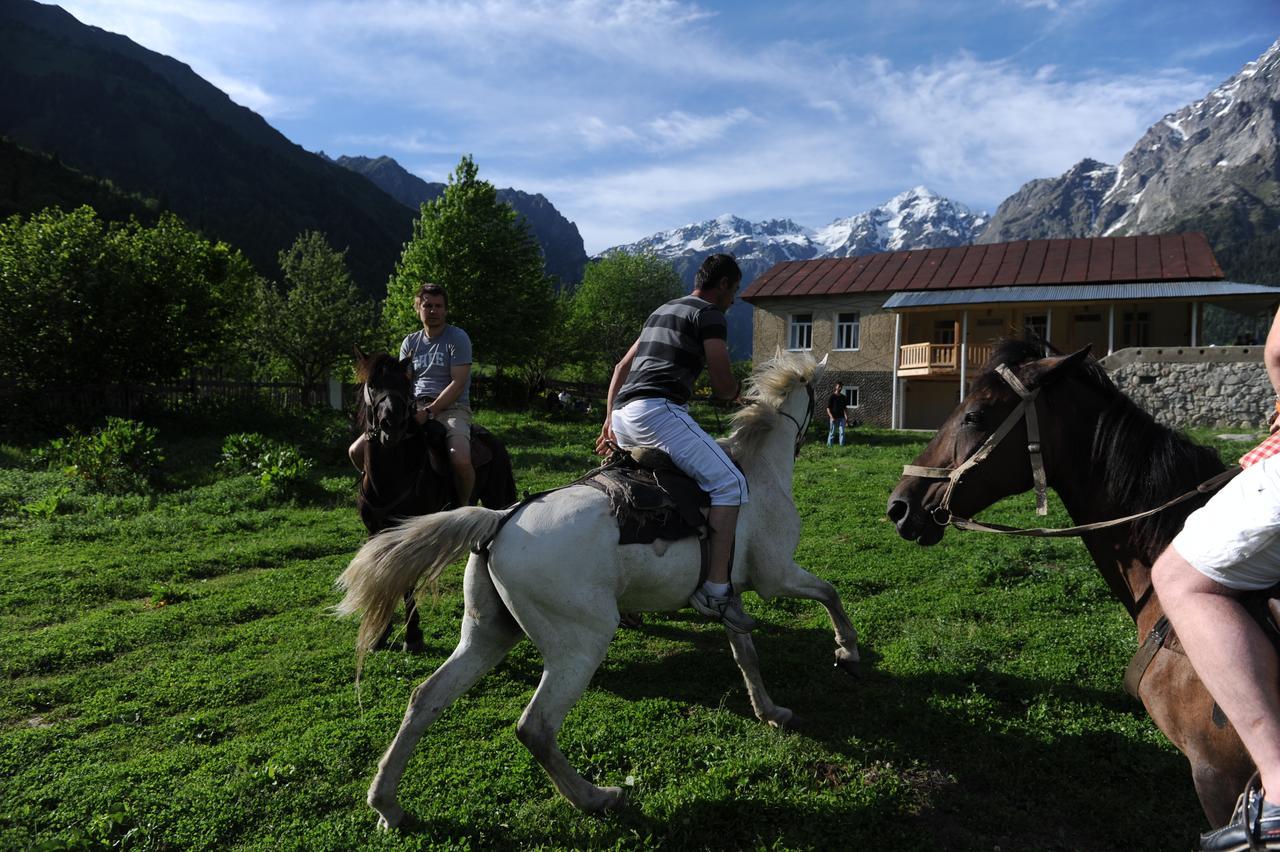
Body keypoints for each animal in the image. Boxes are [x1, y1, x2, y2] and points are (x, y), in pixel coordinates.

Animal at [353, 345, 517, 649]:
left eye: (404, 384)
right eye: (373, 384)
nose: (392, 424)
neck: (391, 478)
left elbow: (405, 581)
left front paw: (413, 636)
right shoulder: (374, 532)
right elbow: (382, 572)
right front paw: (381, 634)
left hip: (496, 497)